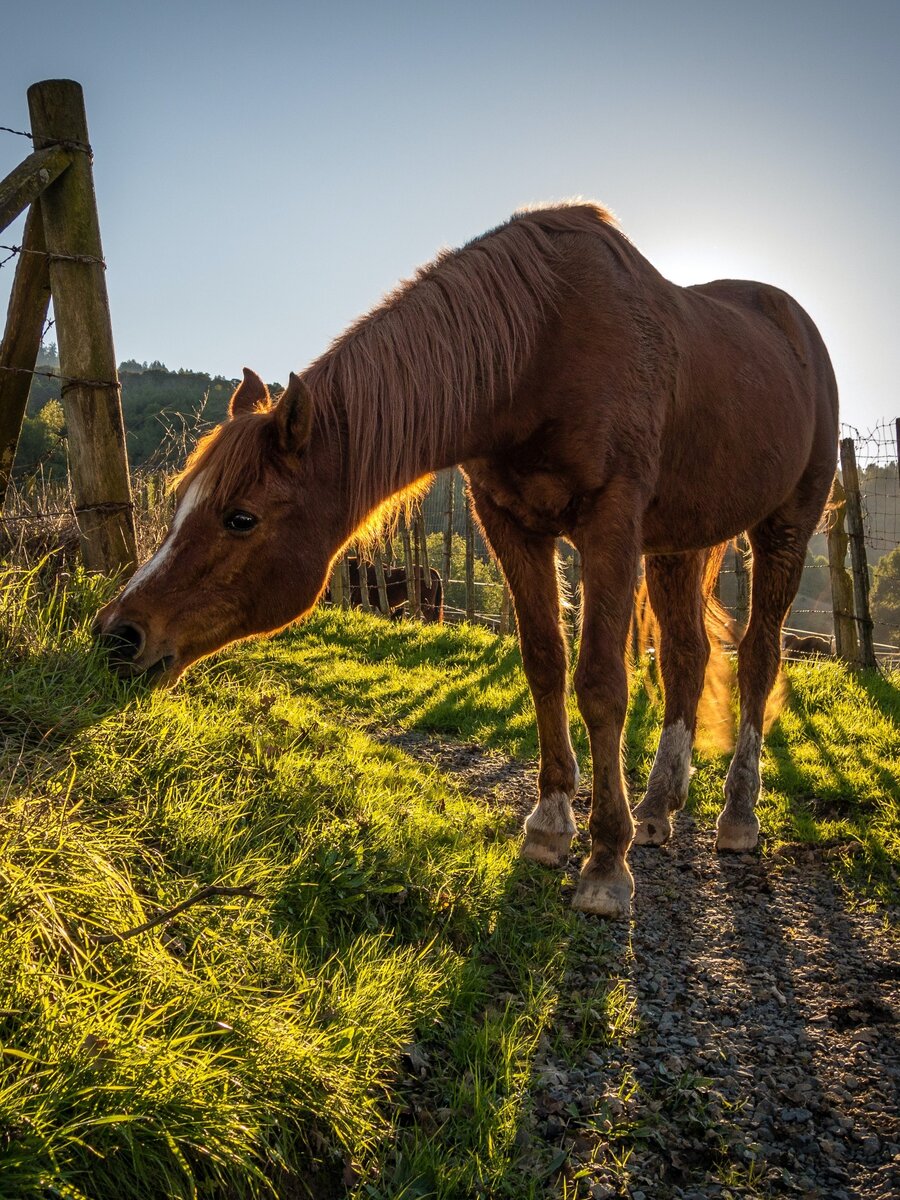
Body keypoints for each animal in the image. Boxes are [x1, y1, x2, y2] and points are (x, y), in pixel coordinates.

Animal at [95, 204, 844, 916]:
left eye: (240, 517)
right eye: (180, 501)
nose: (116, 635)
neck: (540, 348)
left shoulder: (610, 524)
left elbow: (602, 683)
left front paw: (606, 863)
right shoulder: (509, 524)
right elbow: (544, 664)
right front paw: (549, 825)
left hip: (783, 528)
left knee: (758, 657)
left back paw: (738, 816)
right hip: (679, 544)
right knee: (688, 656)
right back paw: (659, 808)